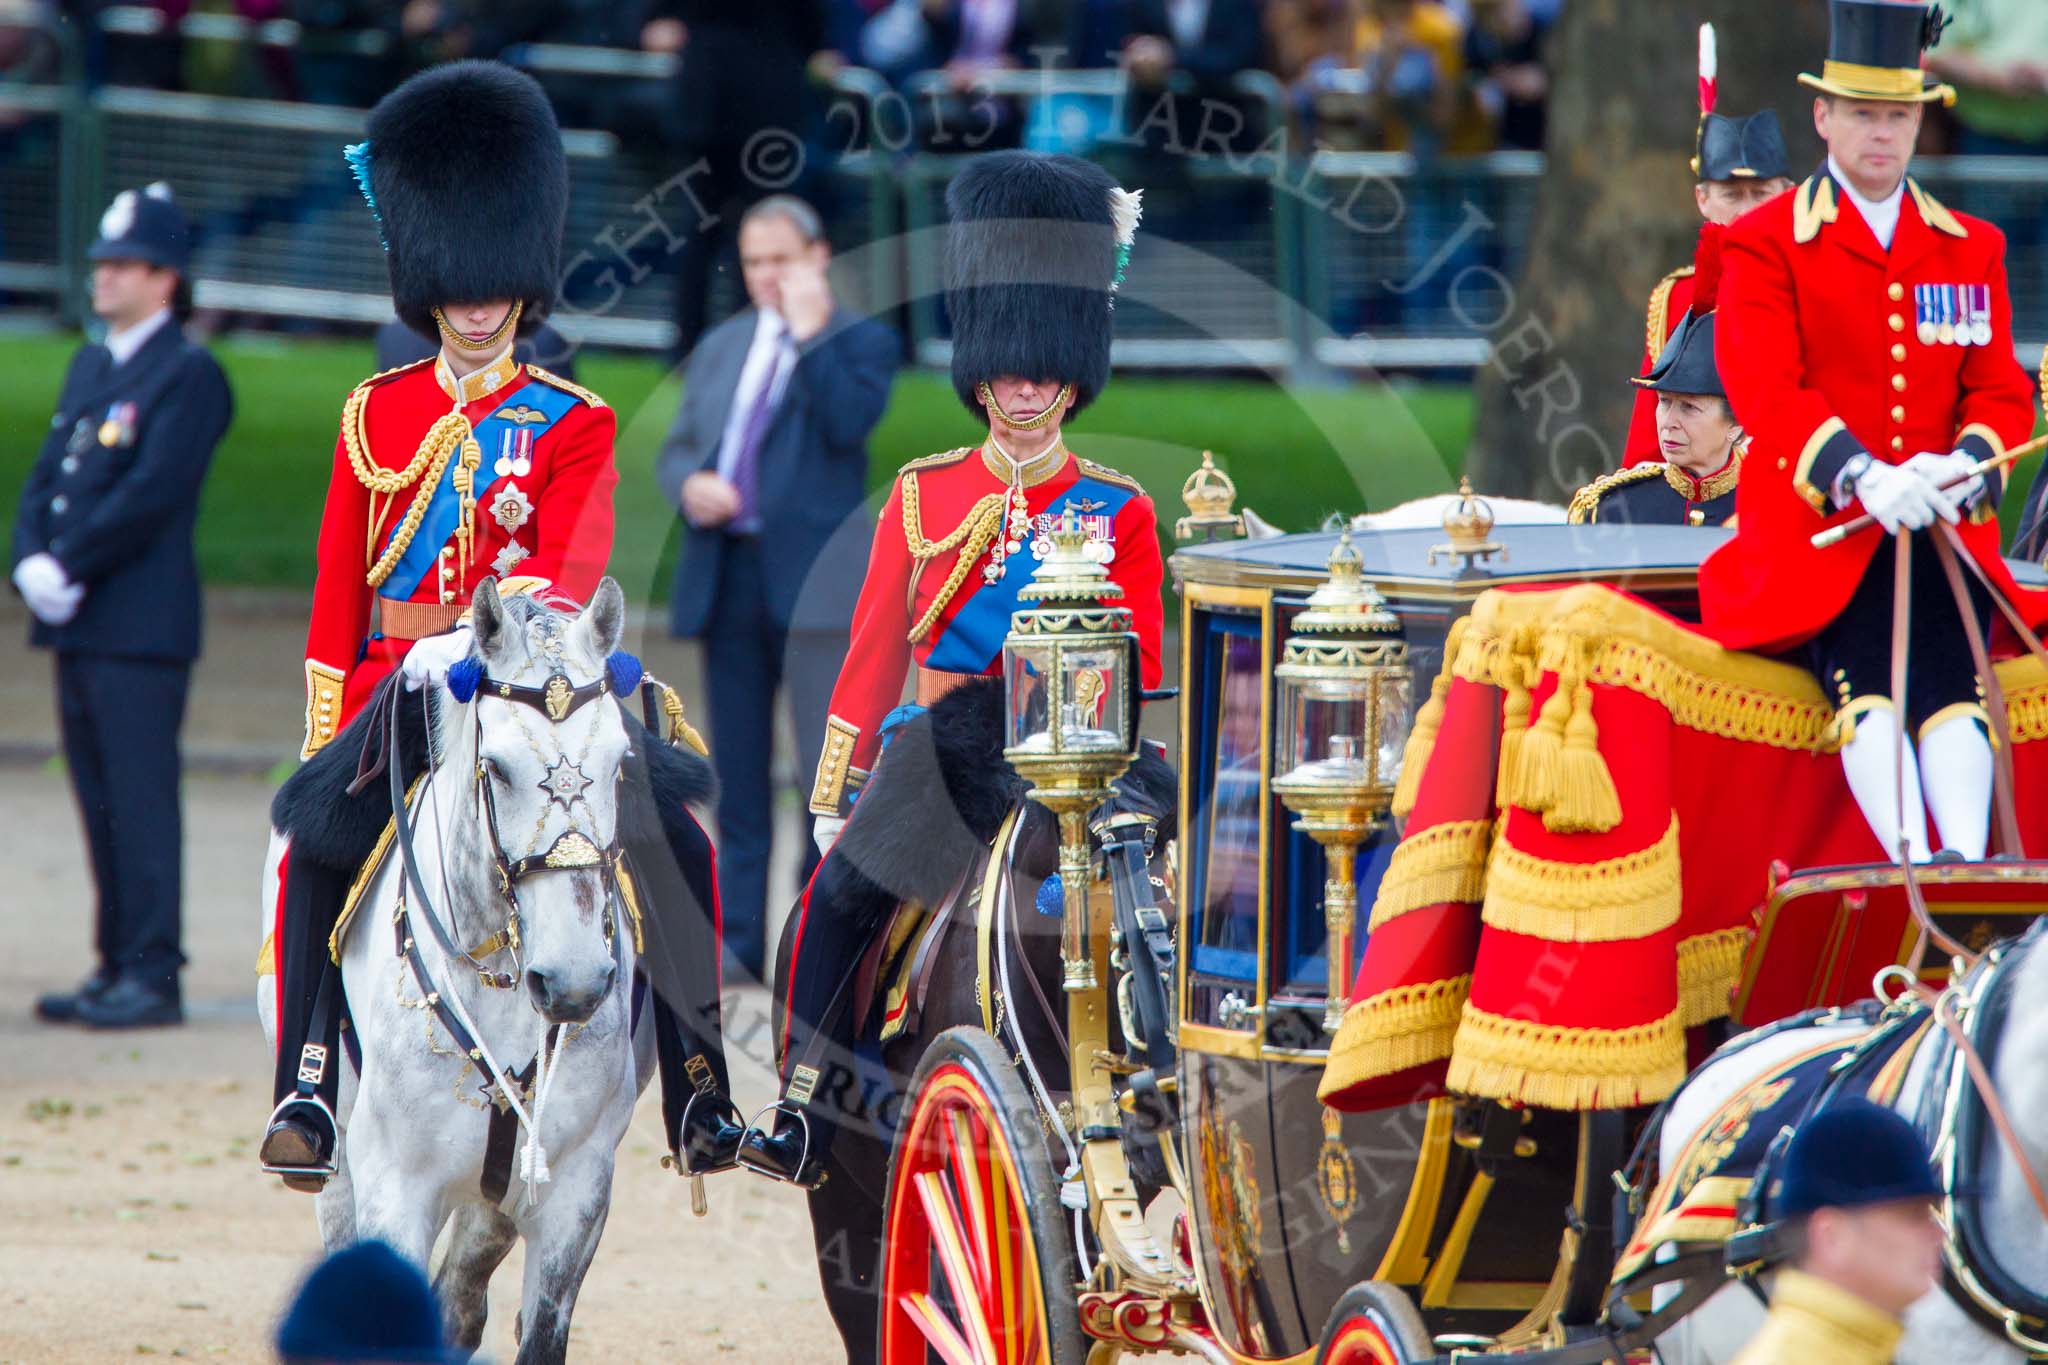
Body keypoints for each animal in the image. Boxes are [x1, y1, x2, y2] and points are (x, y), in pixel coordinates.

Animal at [260, 581, 651, 1365]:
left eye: (621, 761)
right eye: (496, 767)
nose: (573, 982)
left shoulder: (575, 1192)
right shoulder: (394, 1184)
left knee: (462, 1295)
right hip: (342, 1169)